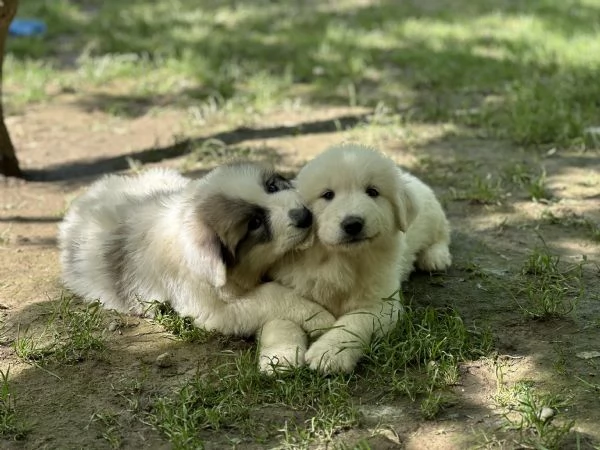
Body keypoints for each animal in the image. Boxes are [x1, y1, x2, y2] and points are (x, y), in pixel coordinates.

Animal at [58, 165, 336, 342]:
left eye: (272, 186)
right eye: (255, 223)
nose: (305, 216)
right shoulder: (212, 308)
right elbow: (273, 296)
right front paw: (320, 317)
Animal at [262, 144, 450, 372]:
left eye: (373, 192)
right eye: (327, 195)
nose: (353, 224)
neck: (340, 260)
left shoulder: (382, 303)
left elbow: (353, 322)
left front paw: (329, 352)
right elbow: (282, 317)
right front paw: (279, 356)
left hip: (433, 216)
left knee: (443, 234)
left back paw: (436, 256)